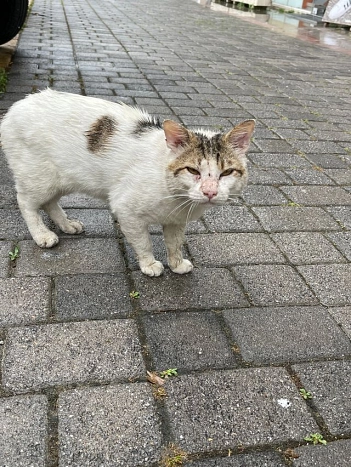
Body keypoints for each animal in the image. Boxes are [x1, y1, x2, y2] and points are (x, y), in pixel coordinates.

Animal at [0, 89, 256, 276]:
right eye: (192, 170)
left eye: (227, 172)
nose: (210, 192)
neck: (178, 200)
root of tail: (17, 105)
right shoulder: (126, 210)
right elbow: (143, 242)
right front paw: (150, 265)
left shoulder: (175, 221)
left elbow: (174, 243)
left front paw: (176, 264)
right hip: (39, 178)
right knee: (26, 202)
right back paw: (42, 235)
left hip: (60, 180)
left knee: (49, 203)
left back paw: (67, 225)